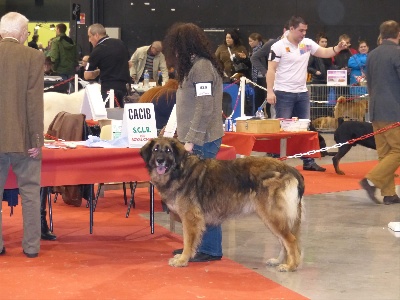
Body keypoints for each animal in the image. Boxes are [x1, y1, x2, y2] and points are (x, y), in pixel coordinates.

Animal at [140, 138, 304, 272]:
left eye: (168, 150)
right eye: (155, 150)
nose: (160, 161)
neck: (179, 170)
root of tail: (289, 169)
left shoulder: (190, 218)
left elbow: (188, 241)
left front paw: (182, 260)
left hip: (271, 216)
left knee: (291, 240)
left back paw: (291, 266)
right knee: (284, 240)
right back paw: (279, 261)